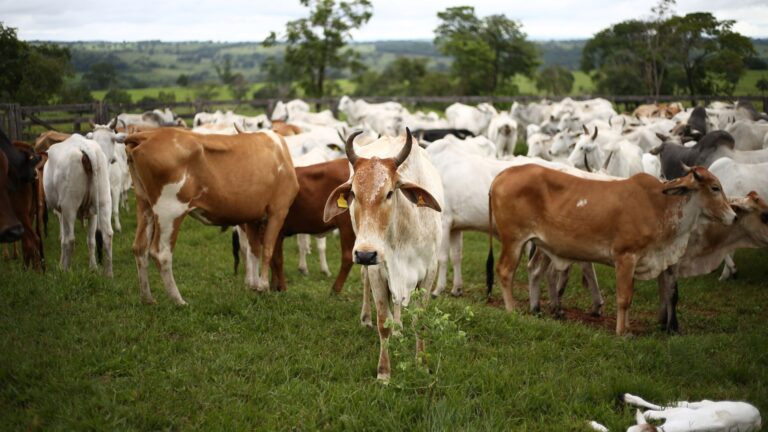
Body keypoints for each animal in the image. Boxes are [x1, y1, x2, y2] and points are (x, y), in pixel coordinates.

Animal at [125, 128, 298, 305]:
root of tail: (149, 134)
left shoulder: (252, 217)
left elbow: (254, 251)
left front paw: (255, 287)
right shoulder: (279, 210)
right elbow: (268, 249)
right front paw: (263, 287)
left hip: (144, 203)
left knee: (140, 248)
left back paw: (147, 299)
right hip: (169, 210)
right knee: (162, 253)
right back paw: (179, 301)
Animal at [323, 129, 443, 381]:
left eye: (389, 193)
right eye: (353, 193)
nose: (365, 254)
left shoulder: (430, 270)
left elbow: (420, 319)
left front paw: (422, 363)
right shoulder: (377, 270)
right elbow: (383, 322)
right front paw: (384, 373)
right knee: (366, 282)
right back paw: (366, 318)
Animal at [488, 164, 736, 335]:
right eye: (715, 188)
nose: (733, 216)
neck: (659, 206)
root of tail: (502, 174)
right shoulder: (625, 257)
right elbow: (624, 298)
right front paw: (622, 332)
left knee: (532, 271)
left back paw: (536, 309)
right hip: (513, 240)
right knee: (505, 271)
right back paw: (512, 309)